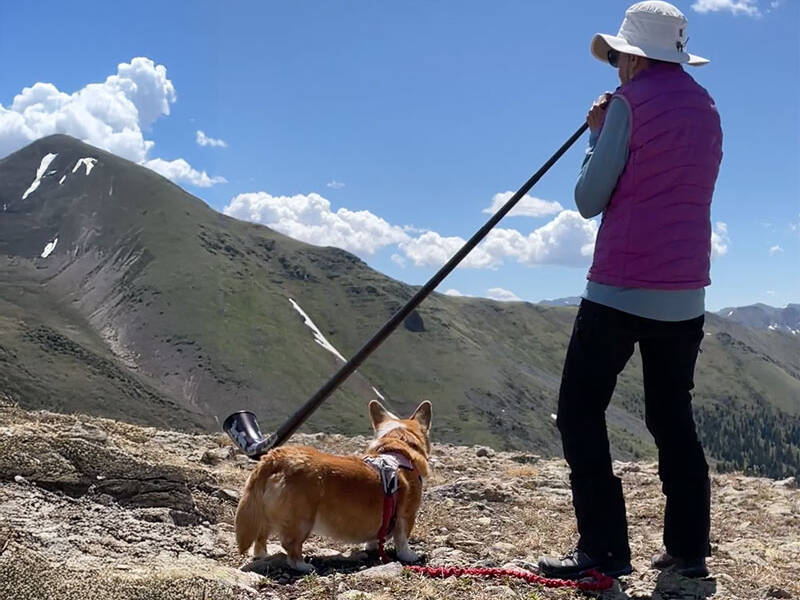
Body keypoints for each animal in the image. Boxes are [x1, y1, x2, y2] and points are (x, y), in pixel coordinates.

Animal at [234, 398, 432, 572]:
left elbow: (378, 536)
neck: (398, 443)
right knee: (291, 546)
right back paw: (303, 566)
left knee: (261, 537)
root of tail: (275, 458)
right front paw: (410, 556)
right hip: (302, 521)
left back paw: (263, 556)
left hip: (265, 515)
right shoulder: (407, 515)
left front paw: (373, 546)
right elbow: (402, 539)